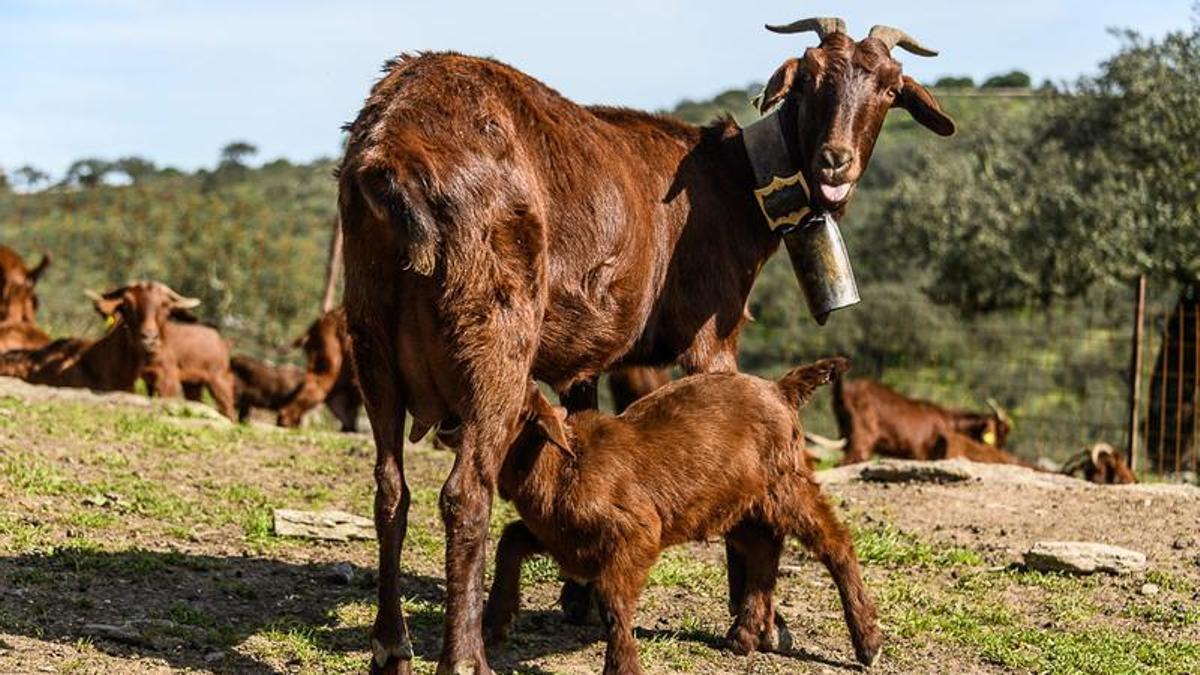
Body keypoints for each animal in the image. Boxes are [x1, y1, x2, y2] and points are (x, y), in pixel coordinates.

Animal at [339, 17, 953, 672]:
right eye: (809, 77)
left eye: (889, 88)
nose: (835, 164)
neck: (732, 181)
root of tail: (389, 147)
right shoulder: (711, 331)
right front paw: (759, 622)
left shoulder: (597, 352)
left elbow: (585, 430)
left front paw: (578, 593)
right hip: (493, 334)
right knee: (465, 494)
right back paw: (464, 655)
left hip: (370, 336)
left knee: (389, 490)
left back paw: (391, 645)